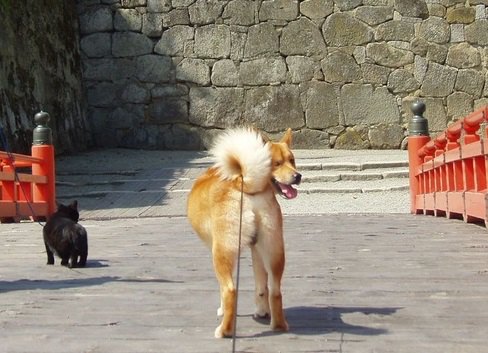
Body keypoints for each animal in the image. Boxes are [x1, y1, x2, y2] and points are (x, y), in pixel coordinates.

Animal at [188, 128, 300, 336]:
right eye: (277, 163)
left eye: (292, 160)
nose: (298, 176)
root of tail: (245, 183)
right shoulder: (256, 250)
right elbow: (261, 287)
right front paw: (262, 311)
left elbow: (222, 290)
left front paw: (222, 310)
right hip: (274, 251)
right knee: (275, 291)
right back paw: (278, 325)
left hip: (222, 253)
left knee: (230, 290)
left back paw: (224, 331)